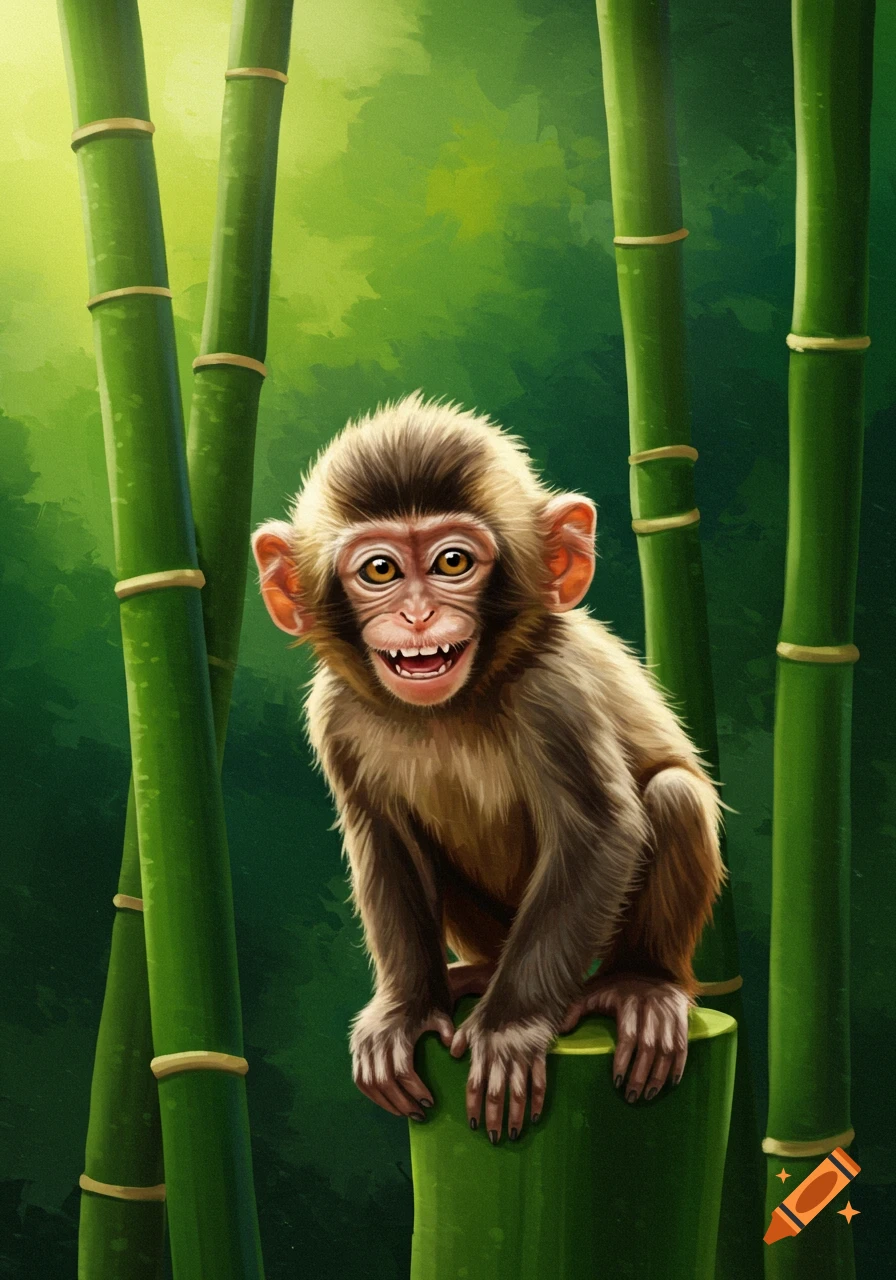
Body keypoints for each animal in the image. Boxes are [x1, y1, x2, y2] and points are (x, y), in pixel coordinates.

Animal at [252, 392, 724, 1144]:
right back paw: (472, 977)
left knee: (674, 794)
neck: (450, 708)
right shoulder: (334, 716)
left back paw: (639, 984)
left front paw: (508, 1029)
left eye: (452, 562)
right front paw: (406, 1011)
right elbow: (385, 841)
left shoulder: (554, 691)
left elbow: (601, 834)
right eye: (380, 571)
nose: (418, 616)